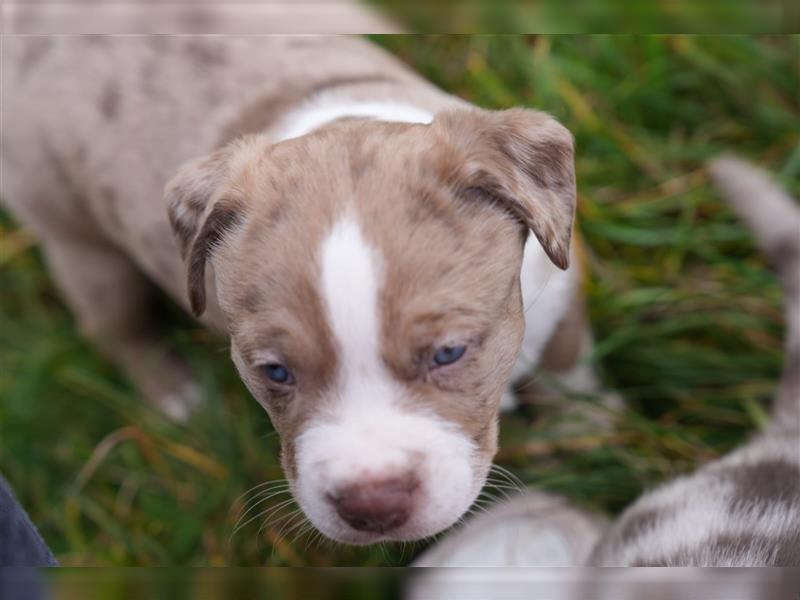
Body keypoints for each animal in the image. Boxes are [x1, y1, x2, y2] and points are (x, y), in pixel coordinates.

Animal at [1, 35, 592, 548]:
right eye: (275, 372)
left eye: (449, 353)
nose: (372, 504)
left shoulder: (558, 283)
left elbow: (568, 370)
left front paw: (588, 431)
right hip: (76, 241)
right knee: (114, 324)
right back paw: (177, 396)